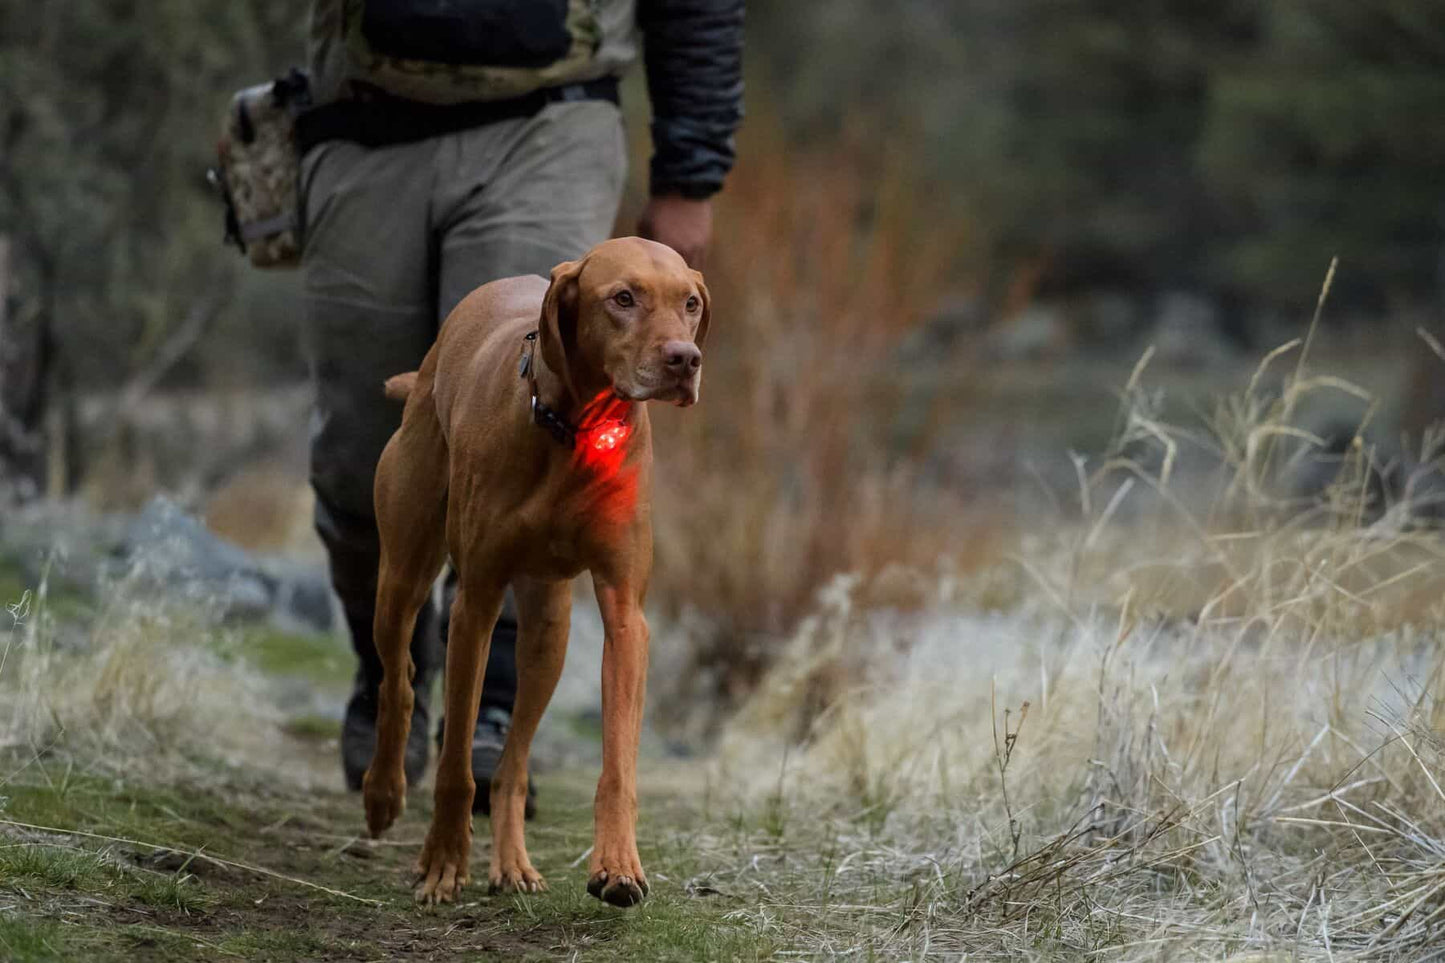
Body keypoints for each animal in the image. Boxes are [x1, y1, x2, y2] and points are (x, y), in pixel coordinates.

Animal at [364, 235, 708, 902]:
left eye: (691, 303)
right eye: (623, 298)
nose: (686, 360)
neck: (574, 429)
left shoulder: (626, 615)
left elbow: (617, 764)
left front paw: (618, 865)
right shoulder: (475, 603)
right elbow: (454, 764)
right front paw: (444, 863)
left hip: (549, 632)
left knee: (514, 759)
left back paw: (512, 862)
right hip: (402, 575)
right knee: (402, 679)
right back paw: (383, 793)